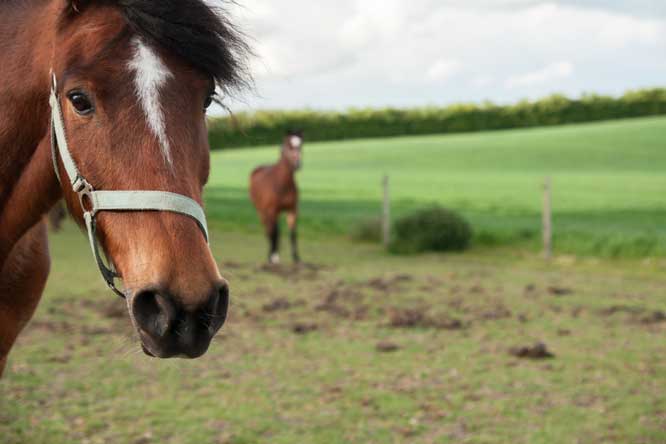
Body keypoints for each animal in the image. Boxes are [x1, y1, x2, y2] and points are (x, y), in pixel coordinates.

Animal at [248, 131, 302, 264]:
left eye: (301, 145)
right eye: (289, 146)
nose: (298, 164)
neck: (282, 184)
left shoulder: (292, 210)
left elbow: (293, 233)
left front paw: (296, 258)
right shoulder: (272, 211)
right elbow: (274, 233)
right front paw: (273, 258)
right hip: (262, 212)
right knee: (269, 231)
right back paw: (272, 255)